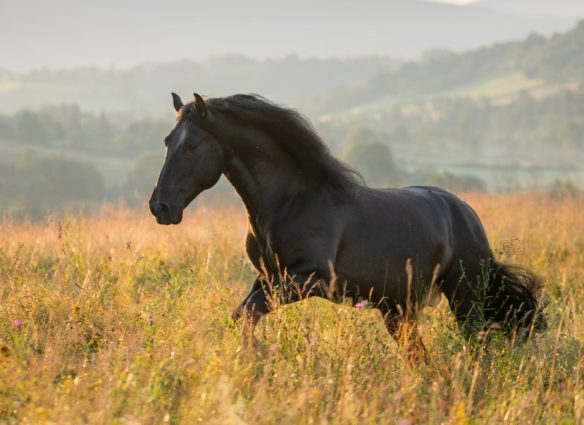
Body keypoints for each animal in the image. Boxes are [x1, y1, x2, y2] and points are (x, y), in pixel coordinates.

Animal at [149, 92, 544, 362]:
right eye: (167, 141)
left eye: (192, 144)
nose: (160, 207)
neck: (289, 202)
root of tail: (467, 215)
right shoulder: (266, 277)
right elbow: (240, 316)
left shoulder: (307, 278)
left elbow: (247, 314)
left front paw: (259, 356)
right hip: (396, 309)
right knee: (418, 356)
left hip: (464, 295)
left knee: (477, 342)